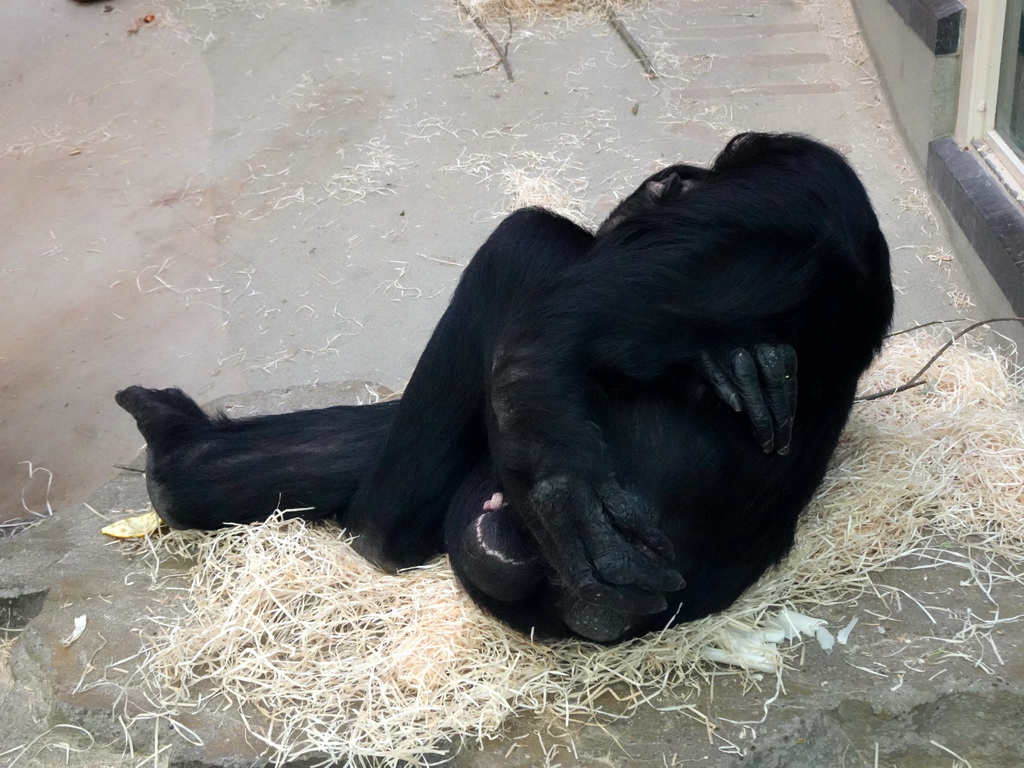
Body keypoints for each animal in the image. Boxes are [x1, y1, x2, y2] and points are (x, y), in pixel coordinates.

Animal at [117, 132, 888, 643]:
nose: (621, 219)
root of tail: (578, 615)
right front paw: (739, 361)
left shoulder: (780, 189)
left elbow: (569, 318)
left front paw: (564, 488)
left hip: (481, 531)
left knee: (529, 241)